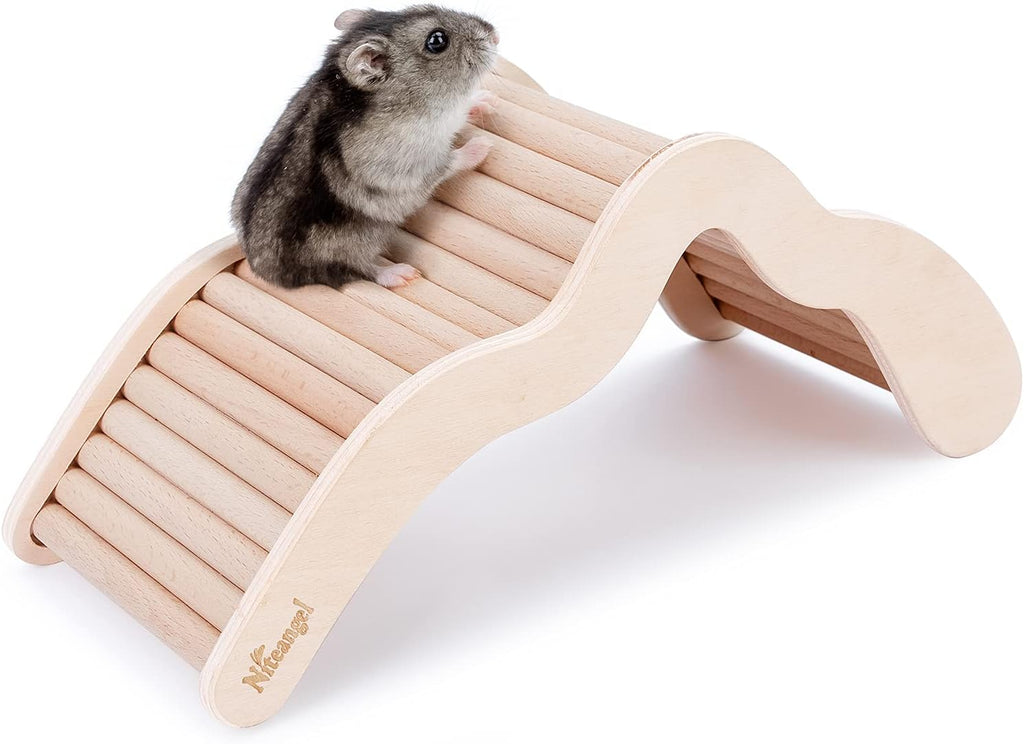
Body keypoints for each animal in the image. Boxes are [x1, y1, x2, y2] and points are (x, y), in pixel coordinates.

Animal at [231, 5, 500, 289]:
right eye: (437, 41)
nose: (496, 36)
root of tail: (266, 273)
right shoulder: (407, 164)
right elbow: (448, 162)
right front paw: (484, 145)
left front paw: (488, 100)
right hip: (349, 245)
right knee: (358, 270)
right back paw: (403, 274)